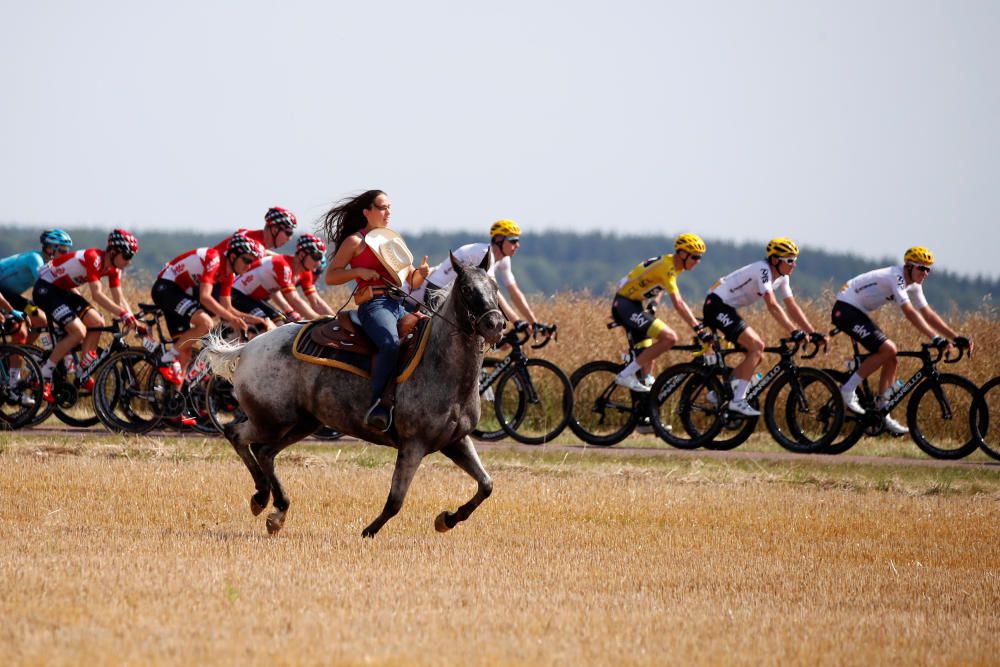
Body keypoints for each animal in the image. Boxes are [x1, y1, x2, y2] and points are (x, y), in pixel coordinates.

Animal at [198, 253, 504, 540]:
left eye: (495, 286)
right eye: (466, 289)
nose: (495, 324)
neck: (440, 363)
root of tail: (248, 348)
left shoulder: (455, 441)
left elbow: (486, 485)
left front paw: (447, 519)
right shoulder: (413, 444)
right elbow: (396, 500)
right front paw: (369, 531)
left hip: (302, 422)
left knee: (264, 452)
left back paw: (277, 511)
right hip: (272, 420)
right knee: (238, 435)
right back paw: (261, 497)